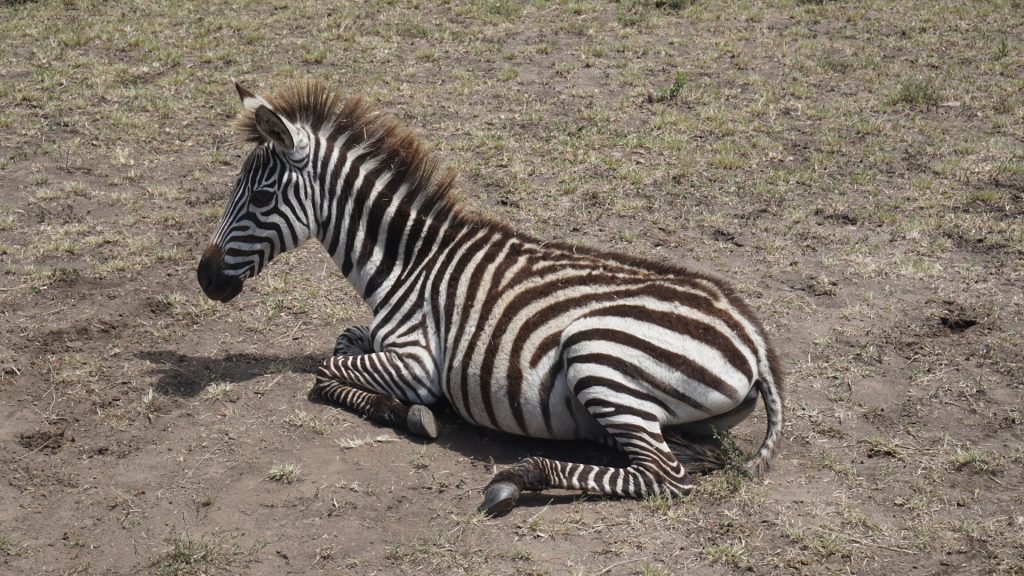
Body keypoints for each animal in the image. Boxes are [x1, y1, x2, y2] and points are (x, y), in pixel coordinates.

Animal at [193, 78, 782, 512]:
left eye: (261, 197)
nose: (204, 278)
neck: (411, 262)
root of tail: (755, 338)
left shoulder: (418, 362)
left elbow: (323, 370)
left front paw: (412, 413)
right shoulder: (382, 337)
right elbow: (342, 342)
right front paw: (398, 407)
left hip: (597, 351)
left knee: (667, 477)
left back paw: (519, 477)